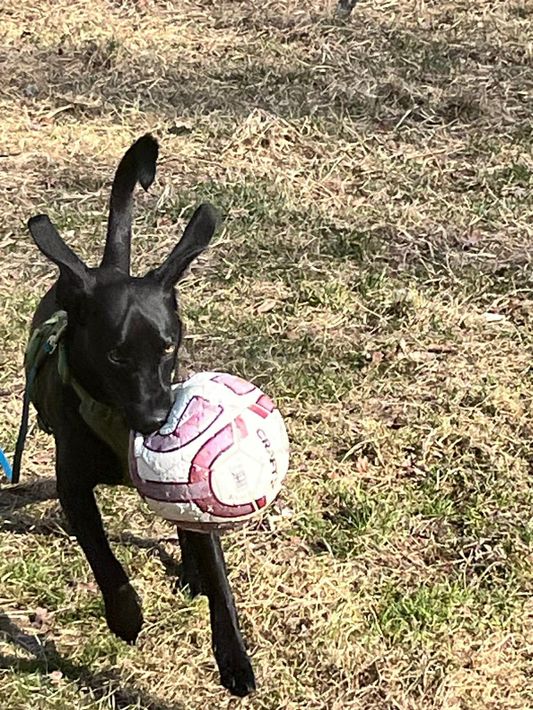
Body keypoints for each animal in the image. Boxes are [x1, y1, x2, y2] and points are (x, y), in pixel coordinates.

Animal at [23, 135, 255, 697]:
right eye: (115, 356)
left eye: (168, 347)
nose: (155, 420)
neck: (116, 418)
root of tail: (108, 268)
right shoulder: (73, 487)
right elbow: (103, 558)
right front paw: (126, 615)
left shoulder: (199, 497)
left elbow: (219, 578)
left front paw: (233, 658)